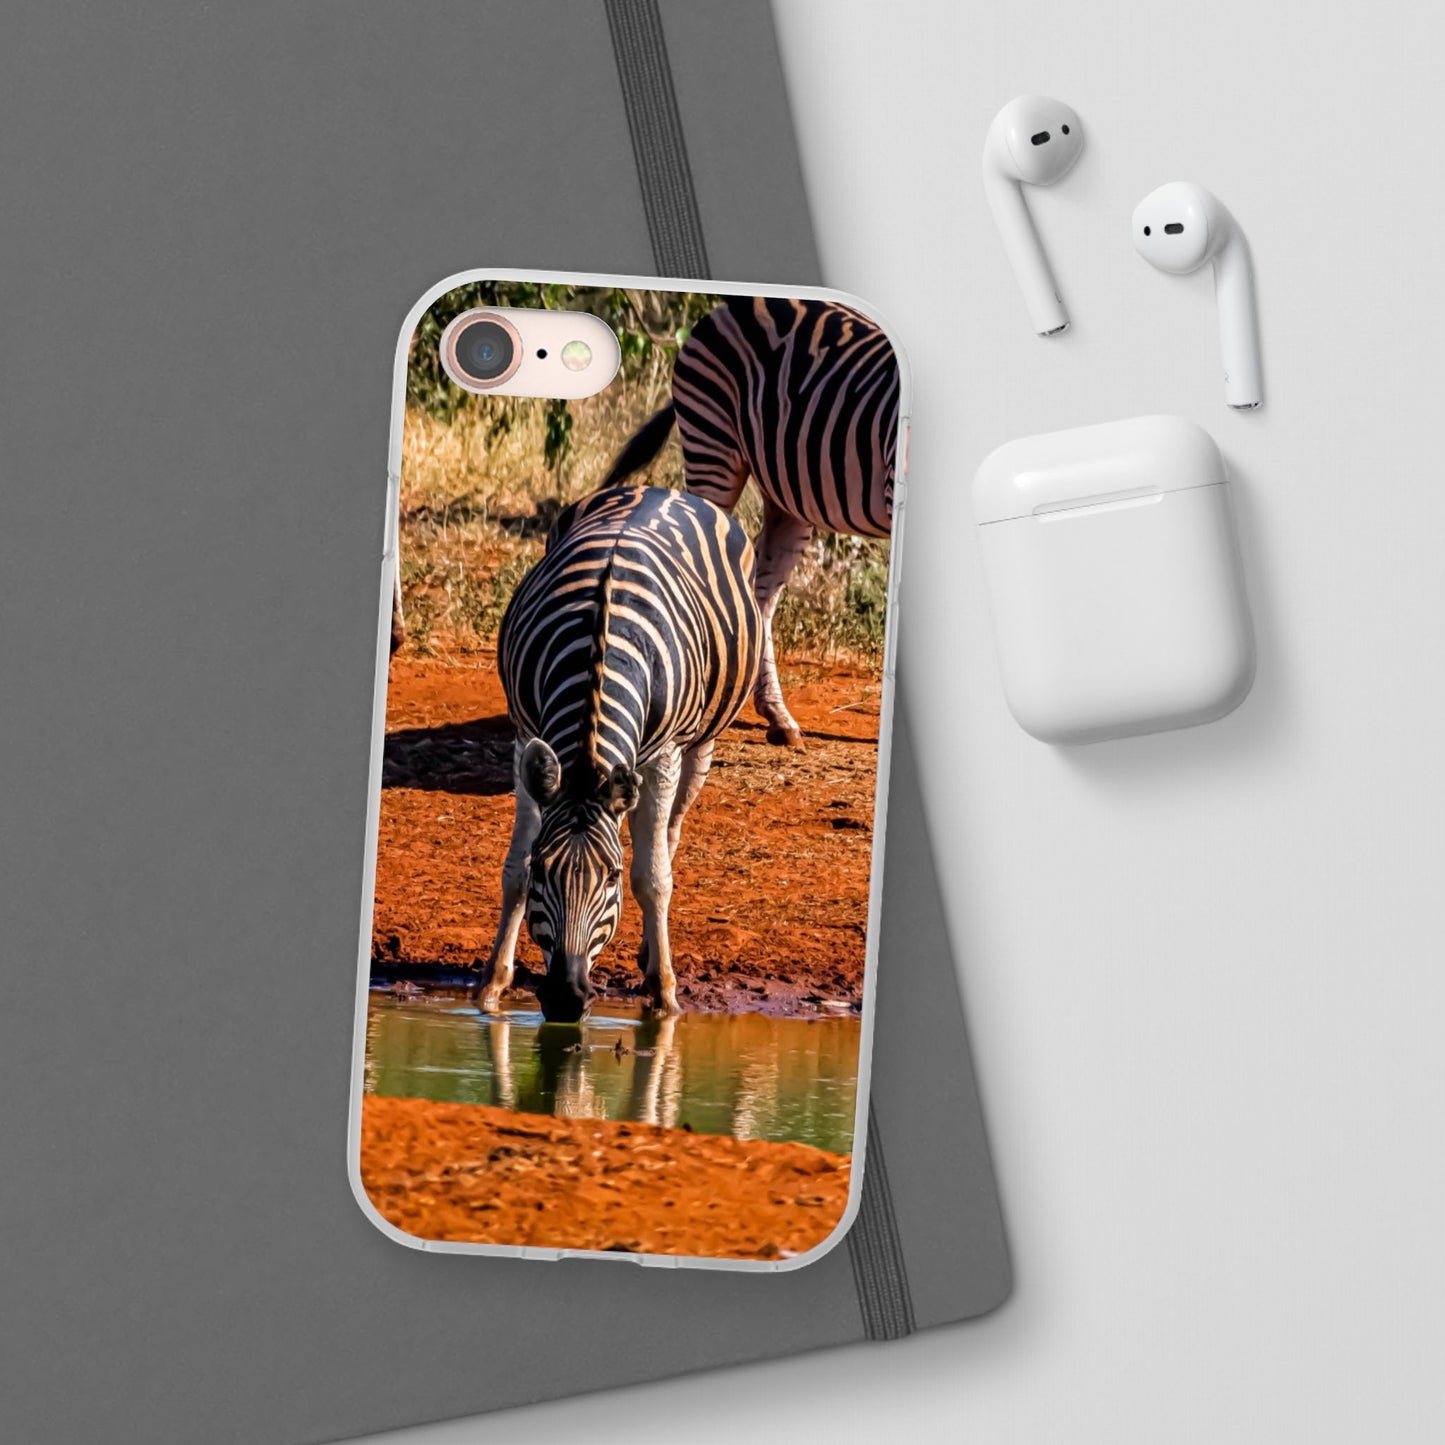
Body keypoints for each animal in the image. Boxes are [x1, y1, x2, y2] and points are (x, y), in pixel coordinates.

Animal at [477, 485, 761, 1022]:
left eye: (610, 877)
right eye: (544, 869)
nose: (566, 998)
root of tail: (659, 488)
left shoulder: (665, 753)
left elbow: (652, 878)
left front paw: (665, 994)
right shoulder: (525, 734)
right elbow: (513, 870)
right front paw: (492, 986)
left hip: (701, 740)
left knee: (670, 833)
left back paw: (654, 955)